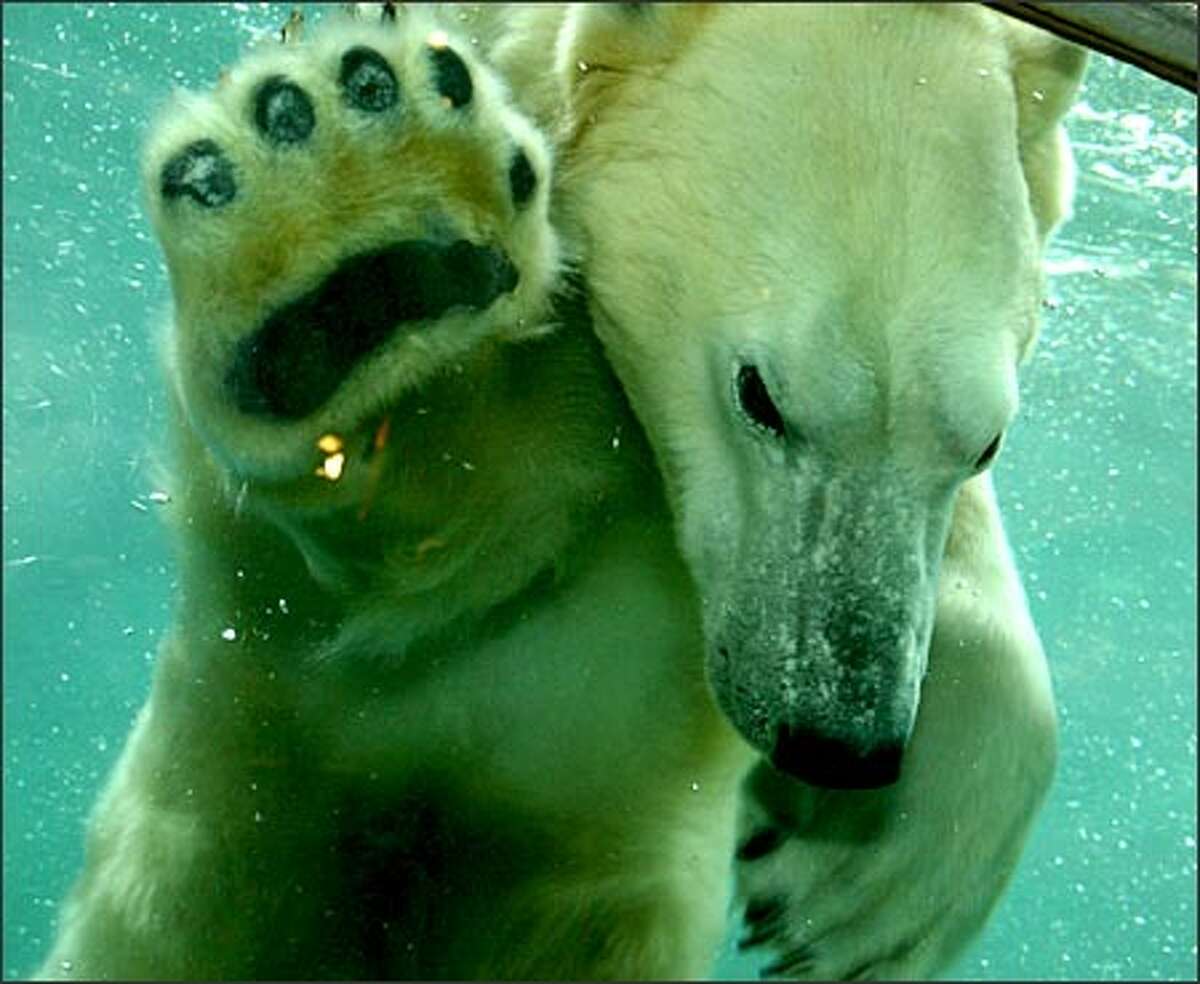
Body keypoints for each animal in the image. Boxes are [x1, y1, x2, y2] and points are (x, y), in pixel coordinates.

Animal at [38, 4, 1085, 980]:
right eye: (760, 396)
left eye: (985, 442)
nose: (839, 741)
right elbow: (435, 528)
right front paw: (358, 263)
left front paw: (873, 882)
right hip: (215, 830)